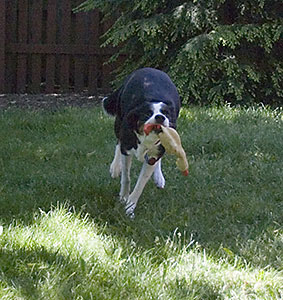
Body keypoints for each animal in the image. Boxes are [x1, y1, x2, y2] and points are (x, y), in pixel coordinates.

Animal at [103, 67, 181, 218]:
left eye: (166, 113)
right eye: (147, 113)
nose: (160, 117)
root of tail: (149, 69)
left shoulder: (153, 155)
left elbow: (140, 185)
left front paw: (130, 207)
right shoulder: (127, 147)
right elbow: (126, 178)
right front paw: (123, 197)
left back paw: (159, 177)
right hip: (119, 120)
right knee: (118, 141)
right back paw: (115, 167)